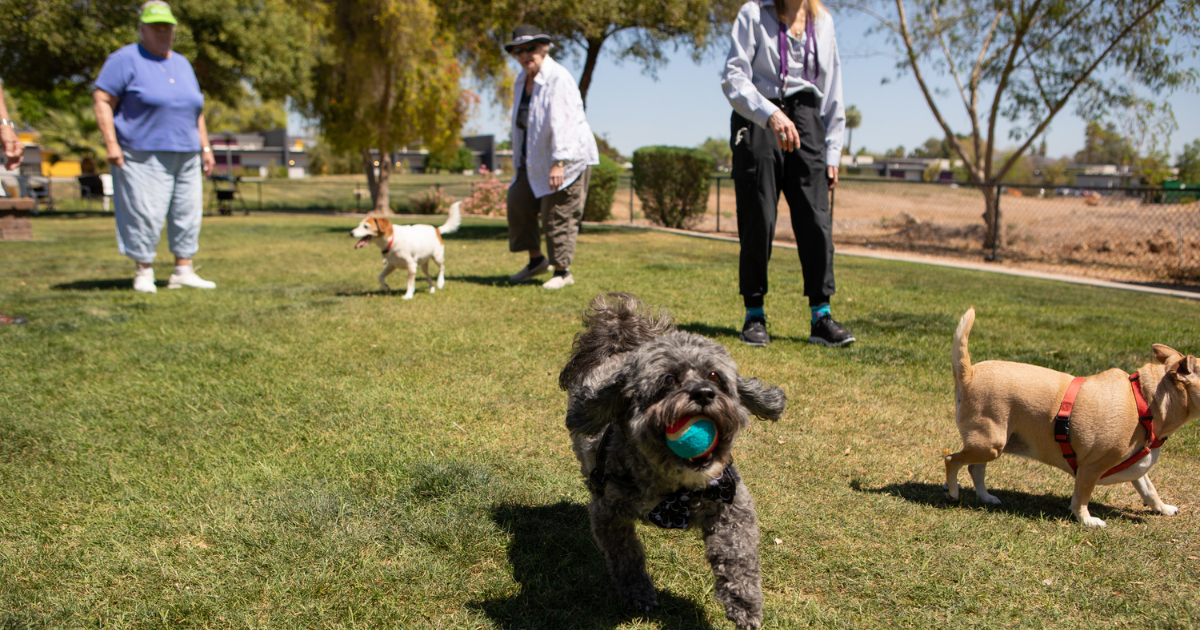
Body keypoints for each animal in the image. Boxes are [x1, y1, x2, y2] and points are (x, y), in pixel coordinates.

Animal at [559, 292, 787, 624]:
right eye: (668, 381)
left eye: (714, 375)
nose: (704, 393)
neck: (675, 488)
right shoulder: (608, 513)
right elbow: (626, 557)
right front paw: (639, 593)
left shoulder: (732, 501)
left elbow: (738, 555)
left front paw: (744, 603)